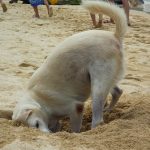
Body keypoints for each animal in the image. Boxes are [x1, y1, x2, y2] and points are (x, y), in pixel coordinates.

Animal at [12, 0, 126, 132]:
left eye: (36, 124)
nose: (48, 134)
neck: (38, 99)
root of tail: (114, 36)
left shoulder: (75, 108)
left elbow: (75, 130)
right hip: (103, 81)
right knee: (117, 92)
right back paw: (108, 110)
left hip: (98, 87)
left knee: (97, 120)